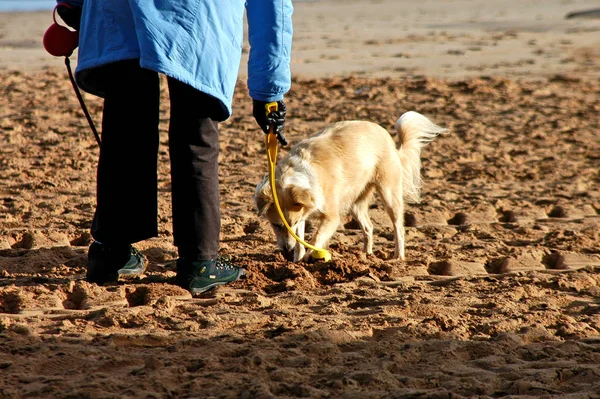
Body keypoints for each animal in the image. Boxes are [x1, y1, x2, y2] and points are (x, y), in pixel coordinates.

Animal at [253, 111, 446, 262]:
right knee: (368, 227)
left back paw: (398, 256)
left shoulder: (331, 217)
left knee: (398, 226)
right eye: (276, 225)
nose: (286, 249)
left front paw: (309, 256)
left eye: (290, 224)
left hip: (389, 194)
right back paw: (366, 255)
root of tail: (390, 141)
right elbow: (300, 240)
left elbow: (316, 237)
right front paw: (297, 261)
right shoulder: (302, 213)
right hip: (355, 202)